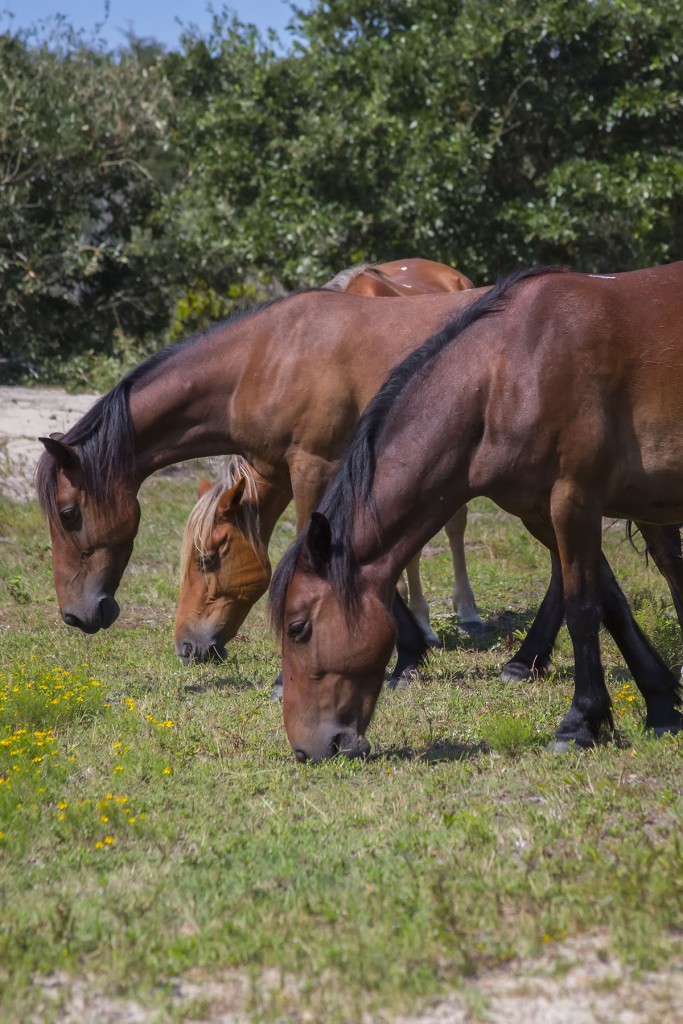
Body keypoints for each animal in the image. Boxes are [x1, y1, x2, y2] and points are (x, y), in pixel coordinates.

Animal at [270, 264, 683, 761]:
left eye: (298, 628)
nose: (305, 750)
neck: (509, 371)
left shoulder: (575, 500)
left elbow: (584, 609)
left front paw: (579, 723)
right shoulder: (541, 511)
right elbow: (612, 603)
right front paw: (660, 704)